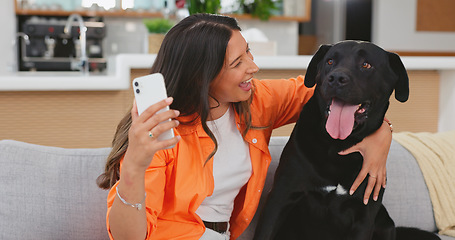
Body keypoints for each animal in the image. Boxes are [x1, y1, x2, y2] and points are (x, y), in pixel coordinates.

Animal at [253, 40, 442, 239]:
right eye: (329, 61)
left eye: (366, 65)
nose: (336, 78)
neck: (337, 145)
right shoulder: (280, 197)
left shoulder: (364, 216)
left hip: (386, 224)